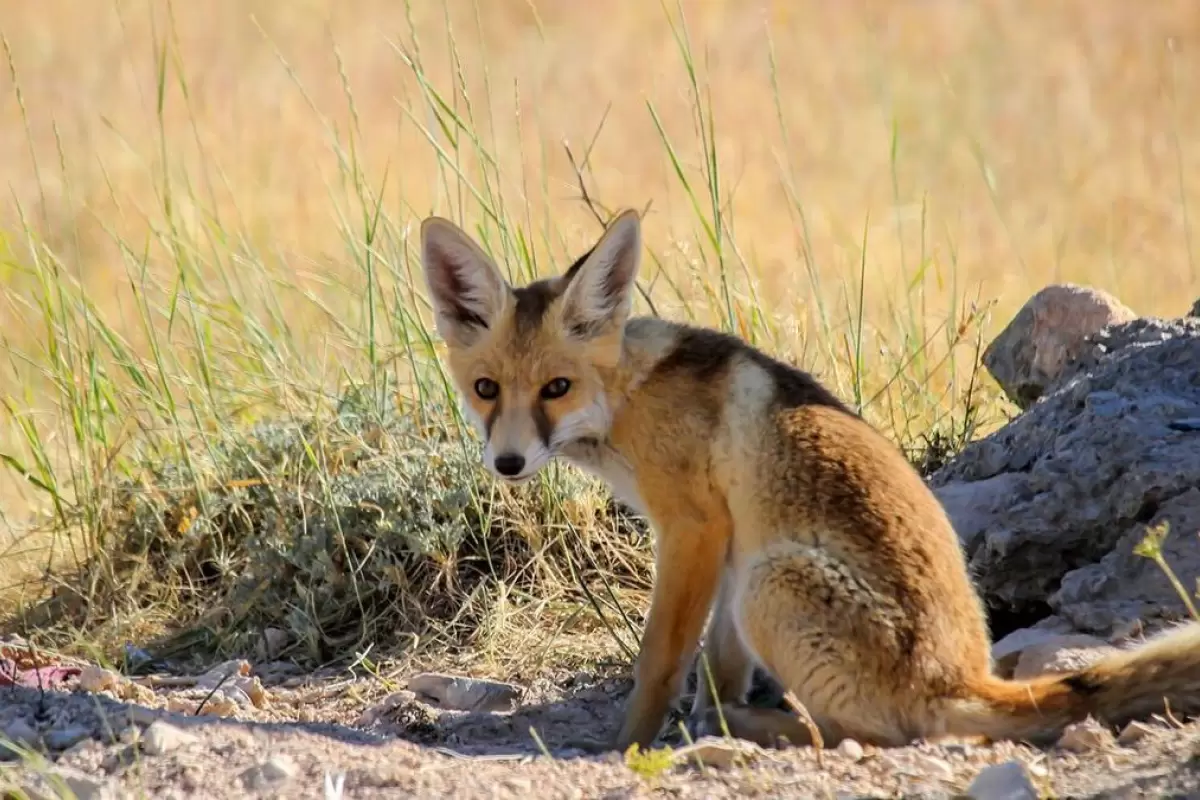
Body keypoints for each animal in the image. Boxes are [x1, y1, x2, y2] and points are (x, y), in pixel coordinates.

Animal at [417, 208, 1200, 758]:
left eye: (557, 387)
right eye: (486, 389)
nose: (508, 464)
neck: (628, 399)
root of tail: (962, 677)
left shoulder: (693, 528)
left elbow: (659, 662)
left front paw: (623, 746)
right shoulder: (727, 545)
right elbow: (715, 665)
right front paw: (697, 718)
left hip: (772, 583)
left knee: (862, 736)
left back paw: (751, 727)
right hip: (756, 581)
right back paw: (730, 723)